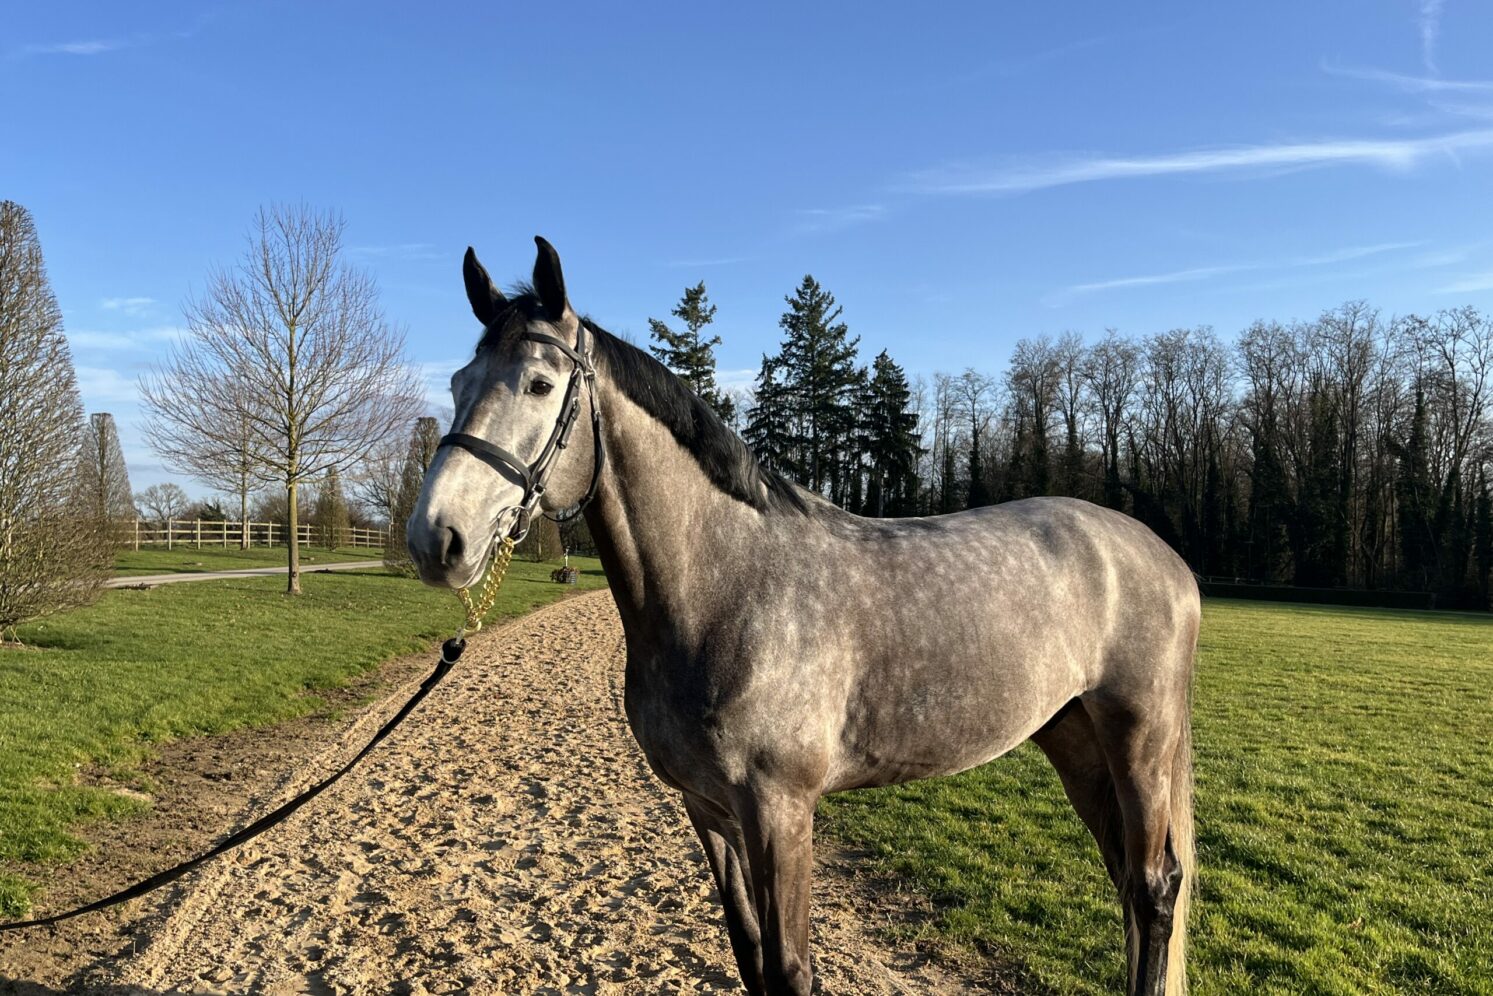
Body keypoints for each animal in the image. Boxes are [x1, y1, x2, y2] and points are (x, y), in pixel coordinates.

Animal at [407, 237, 1198, 996]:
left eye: (539, 384)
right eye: (457, 384)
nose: (436, 539)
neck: (726, 588)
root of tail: (1165, 559)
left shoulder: (779, 809)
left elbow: (791, 970)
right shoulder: (709, 811)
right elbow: (751, 958)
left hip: (1140, 741)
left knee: (1154, 889)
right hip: (1073, 739)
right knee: (1127, 883)